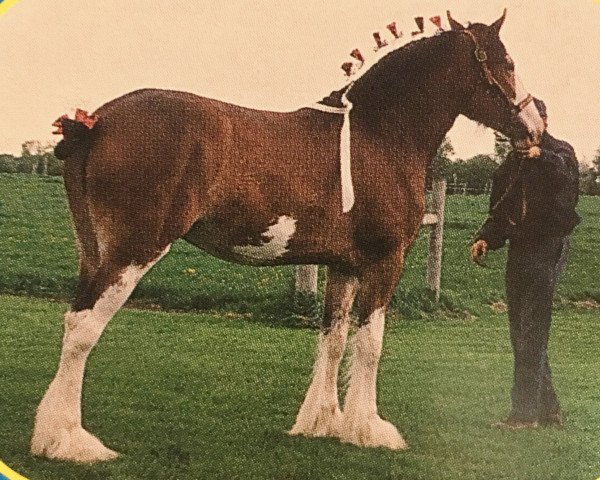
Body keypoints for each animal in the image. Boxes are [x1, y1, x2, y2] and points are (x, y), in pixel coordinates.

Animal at [31, 10, 544, 462]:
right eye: (508, 63)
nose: (535, 126)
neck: (378, 135)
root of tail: (94, 122)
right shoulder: (385, 261)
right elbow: (370, 344)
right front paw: (368, 429)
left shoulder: (343, 266)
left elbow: (332, 340)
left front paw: (322, 422)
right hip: (133, 251)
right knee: (83, 328)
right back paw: (71, 441)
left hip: (94, 251)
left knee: (74, 319)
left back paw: (50, 434)